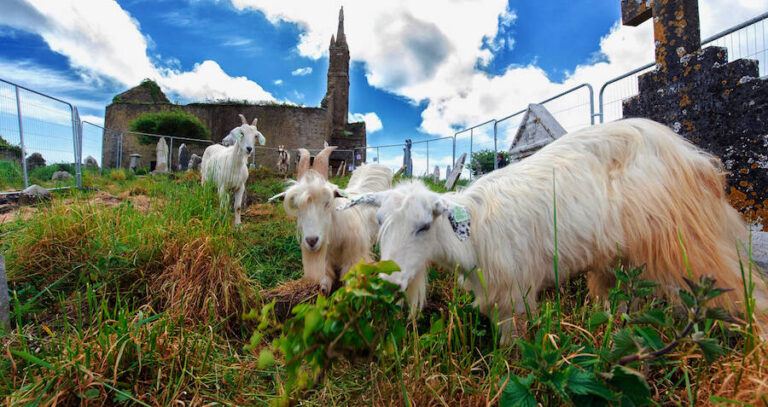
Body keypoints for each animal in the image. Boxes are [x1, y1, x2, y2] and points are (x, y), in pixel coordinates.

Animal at [278, 146, 393, 294]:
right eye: (297, 205)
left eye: (328, 202)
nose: (311, 241)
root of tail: (372, 165)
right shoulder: (326, 263)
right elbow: (325, 284)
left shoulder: (354, 259)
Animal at [342, 118, 768, 343]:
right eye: (380, 224)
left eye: (424, 225)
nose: (387, 282)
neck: (474, 231)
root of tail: (694, 157)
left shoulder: (514, 295)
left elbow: (512, 351)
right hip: (616, 256)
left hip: (686, 240)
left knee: (740, 286)